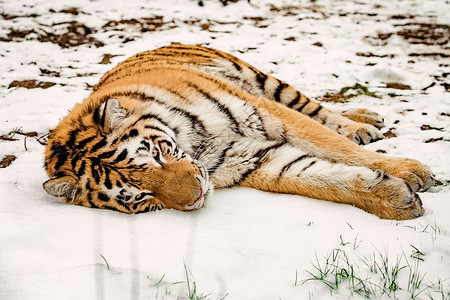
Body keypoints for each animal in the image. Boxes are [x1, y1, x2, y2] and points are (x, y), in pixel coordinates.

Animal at [44, 43, 434, 219]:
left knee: (315, 109)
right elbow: (316, 177)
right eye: (138, 196)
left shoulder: (264, 113)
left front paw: (412, 171)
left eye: (155, 155)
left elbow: (334, 145)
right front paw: (395, 199)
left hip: (263, 81)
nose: (197, 197)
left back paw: (364, 122)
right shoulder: (253, 159)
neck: (194, 145)